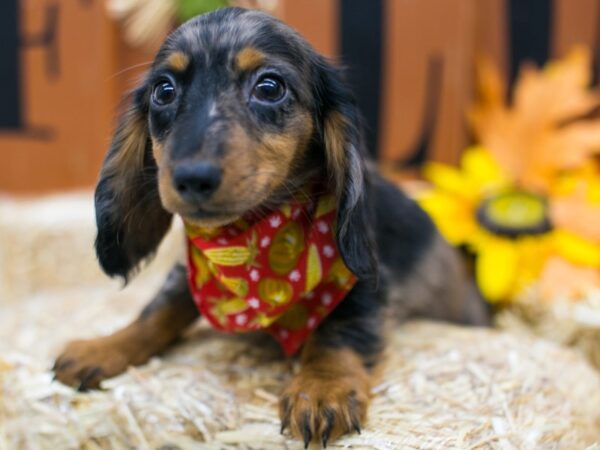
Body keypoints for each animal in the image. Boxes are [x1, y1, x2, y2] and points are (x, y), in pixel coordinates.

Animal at [54, 8, 490, 448]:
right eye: (163, 91)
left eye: (269, 87)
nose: (192, 178)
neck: (252, 241)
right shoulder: (195, 273)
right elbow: (158, 310)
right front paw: (104, 347)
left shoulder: (364, 279)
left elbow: (340, 330)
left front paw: (321, 388)